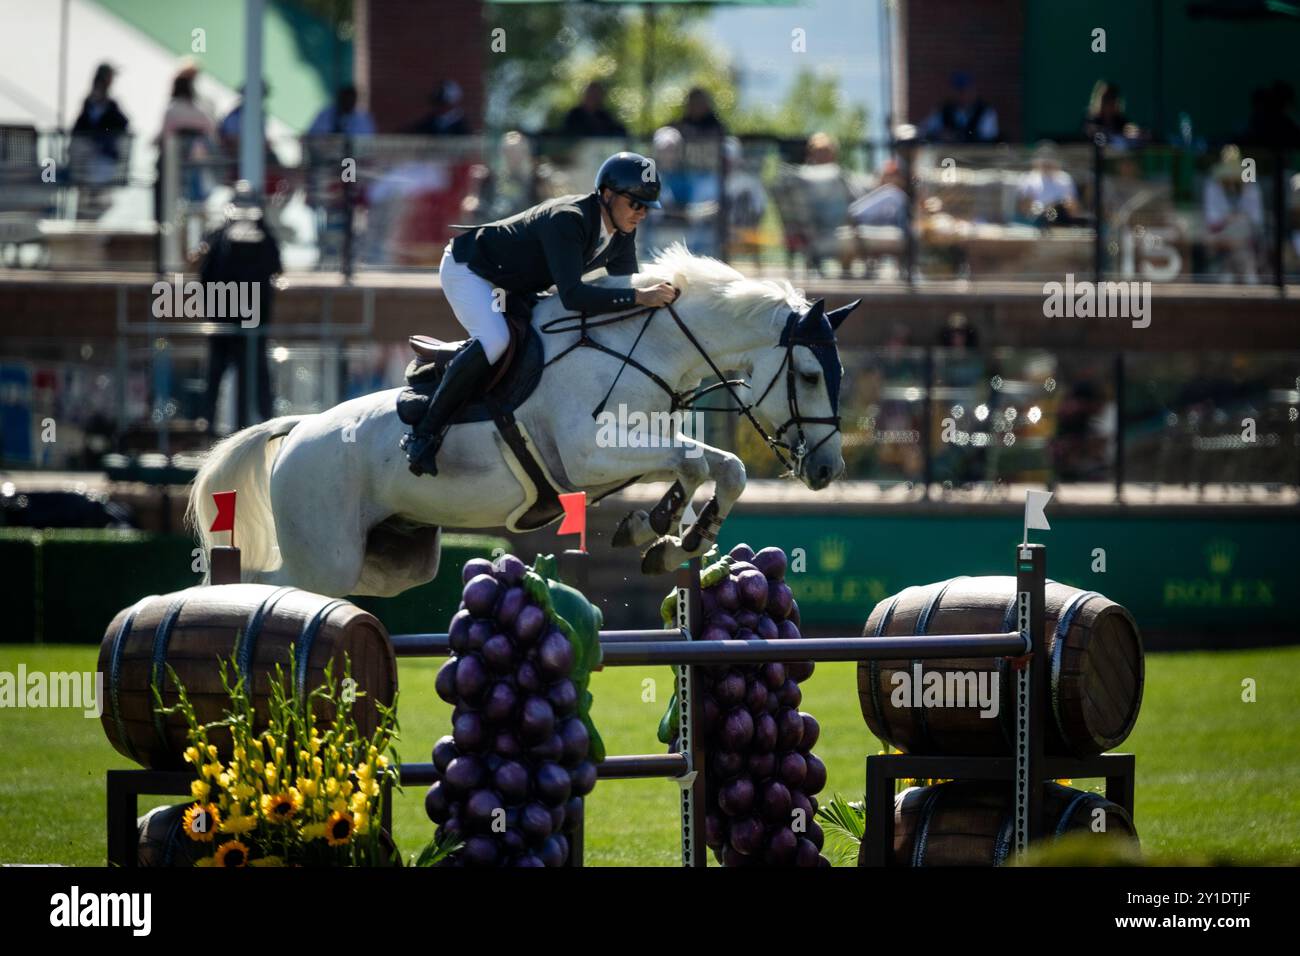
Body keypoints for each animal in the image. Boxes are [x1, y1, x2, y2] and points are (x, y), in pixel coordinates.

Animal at [183, 244, 852, 598]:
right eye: (809, 375)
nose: (826, 469)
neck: (648, 342)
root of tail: (298, 429)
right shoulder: (587, 454)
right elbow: (693, 461)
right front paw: (660, 528)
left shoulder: (635, 442)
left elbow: (721, 465)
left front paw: (669, 534)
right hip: (324, 560)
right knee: (271, 582)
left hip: (387, 562)